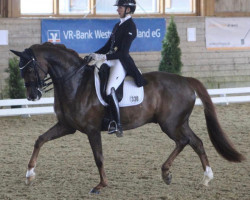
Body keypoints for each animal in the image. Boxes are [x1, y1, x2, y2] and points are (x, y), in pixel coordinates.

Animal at [10, 42, 243, 194]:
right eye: (22, 70)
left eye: (29, 69)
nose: (32, 96)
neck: (75, 83)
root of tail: (185, 80)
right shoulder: (66, 126)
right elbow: (40, 140)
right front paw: (29, 175)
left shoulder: (92, 130)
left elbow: (98, 157)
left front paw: (101, 185)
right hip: (178, 123)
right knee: (196, 142)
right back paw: (204, 178)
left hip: (170, 124)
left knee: (185, 141)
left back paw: (168, 173)